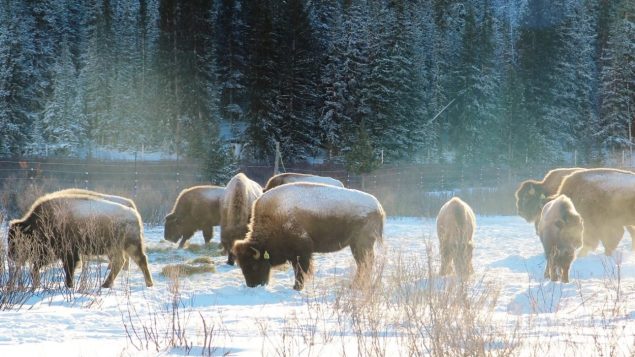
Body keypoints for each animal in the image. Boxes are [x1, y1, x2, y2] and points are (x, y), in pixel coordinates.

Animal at [7, 191, 154, 288]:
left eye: (17, 241)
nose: (10, 255)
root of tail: (134, 214)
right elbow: (36, 267)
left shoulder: (68, 254)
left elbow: (68, 269)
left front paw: (69, 285)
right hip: (115, 248)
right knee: (120, 262)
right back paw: (105, 284)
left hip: (131, 246)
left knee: (141, 260)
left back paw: (149, 284)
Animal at [232, 184, 386, 290]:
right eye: (242, 266)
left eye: (254, 265)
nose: (253, 285)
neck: (275, 218)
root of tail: (378, 207)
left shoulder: (302, 252)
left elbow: (300, 270)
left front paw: (297, 287)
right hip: (356, 245)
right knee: (363, 264)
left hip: (362, 245)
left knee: (365, 263)